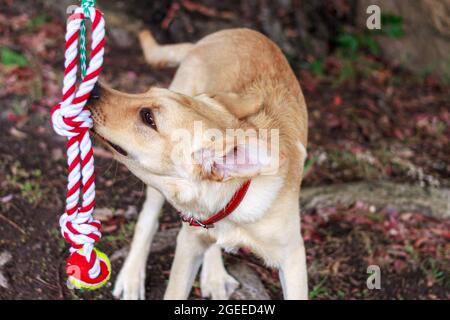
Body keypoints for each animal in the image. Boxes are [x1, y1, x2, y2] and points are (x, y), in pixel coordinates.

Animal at [90, 27, 310, 300]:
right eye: (146, 93)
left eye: (148, 117)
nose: (92, 88)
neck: (234, 199)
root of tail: (227, 32)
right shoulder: (188, 242)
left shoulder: (293, 258)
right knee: (147, 220)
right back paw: (132, 277)